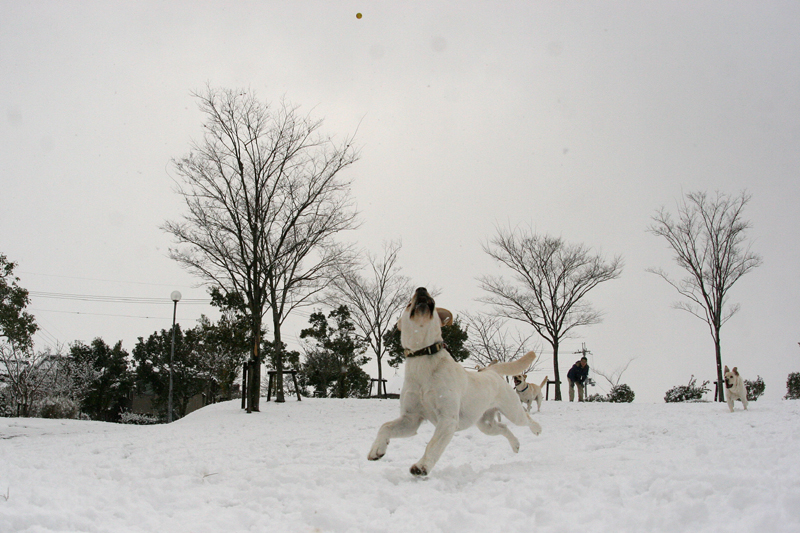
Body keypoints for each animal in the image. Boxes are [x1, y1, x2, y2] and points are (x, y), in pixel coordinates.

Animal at [368, 288, 544, 476]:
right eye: (408, 304)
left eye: (432, 299)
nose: (421, 289)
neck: (423, 355)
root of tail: (491, 371)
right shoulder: (411, 418)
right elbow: (385, 426)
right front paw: (377, 449)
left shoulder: (447, 419)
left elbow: (433, 445)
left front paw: (421, 466)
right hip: (485, 424)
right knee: (503, 427)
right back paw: (516, 445)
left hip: (512, 410)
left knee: (526, 417)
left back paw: (537, 429)